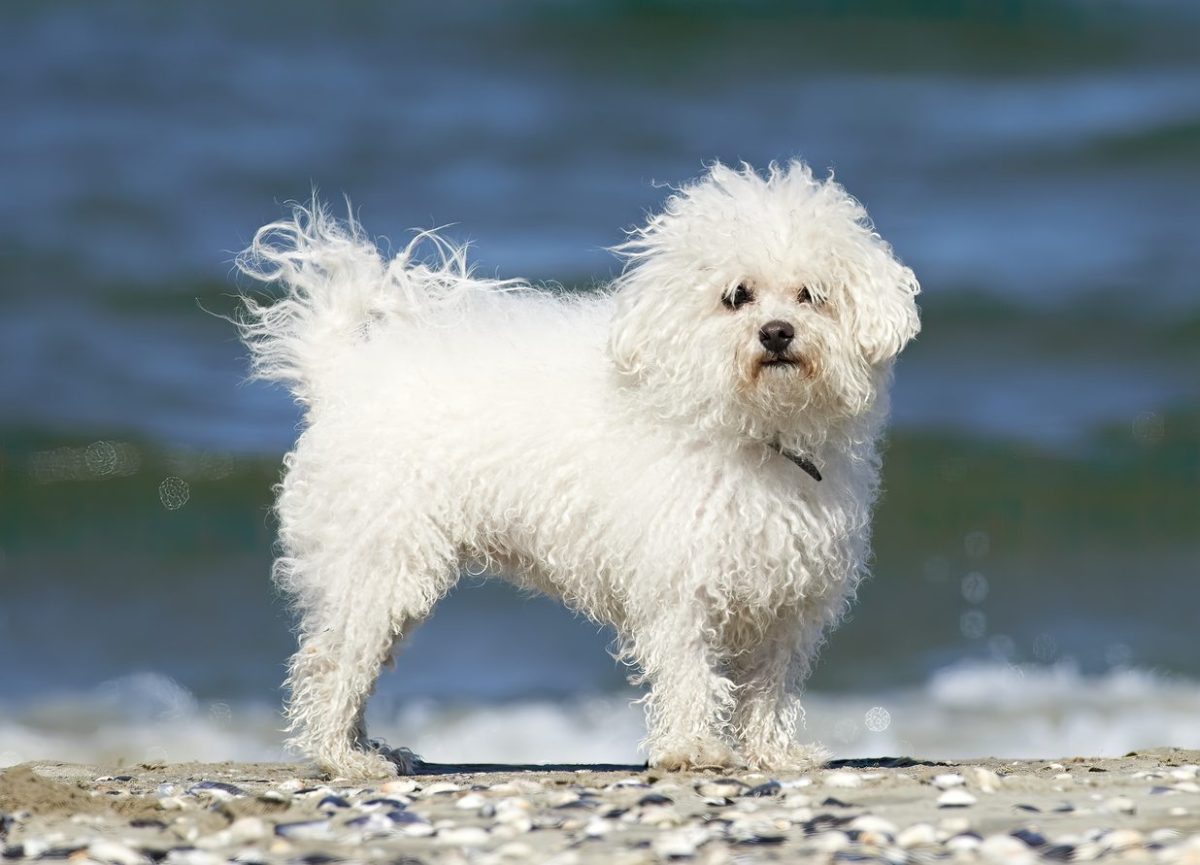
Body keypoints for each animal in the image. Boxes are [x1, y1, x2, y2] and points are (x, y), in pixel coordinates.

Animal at [238, 160, 921, 777]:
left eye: (812, 296)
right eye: (737, 297)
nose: (777, 332)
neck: (755, 432)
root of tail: (341, 374)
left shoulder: (788, 601)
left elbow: (770, 685)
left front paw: (772, 753)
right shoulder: (680, 586)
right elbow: (689, 671)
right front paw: (692, 749)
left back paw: (367, 749)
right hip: (377, 563)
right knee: (332, 661)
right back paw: (342, 757)